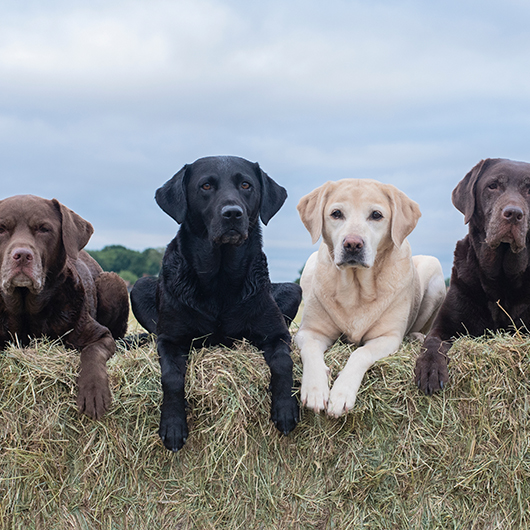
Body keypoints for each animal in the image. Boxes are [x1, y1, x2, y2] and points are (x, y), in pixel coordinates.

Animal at [0, 194, 129, 416]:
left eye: (43, 229)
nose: (22, 255)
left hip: (113, 282)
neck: (28, 311)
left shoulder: (102, 335)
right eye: (1, 228)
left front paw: (93, 391)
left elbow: (91, 352)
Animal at [129, 156, 300, 450]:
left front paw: (285, 408)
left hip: (293, 288)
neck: (220, 277)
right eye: (206, 186)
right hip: (139, 288)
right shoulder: (169, 340)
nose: (232, 213)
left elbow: (283, 362)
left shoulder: (277, 334)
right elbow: (170, 377)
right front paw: (173, 424)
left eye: (246, 185)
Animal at [294, 179, 444, 414]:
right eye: (336, 213)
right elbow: (309, 349)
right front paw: (315, 390)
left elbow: (360, 353)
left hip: (435, 270)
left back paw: (416, 337)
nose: (352, 244)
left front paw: (341, 393)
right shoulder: (309, 332)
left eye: (376, 215)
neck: (355, 288)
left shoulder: (387, 338)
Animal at [414, 157, 530, 392]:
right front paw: (430, 368)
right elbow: (432, 342)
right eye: (493, 186)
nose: (514, 214)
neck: (501, 279)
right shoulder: (443, 325)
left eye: (529, 189)